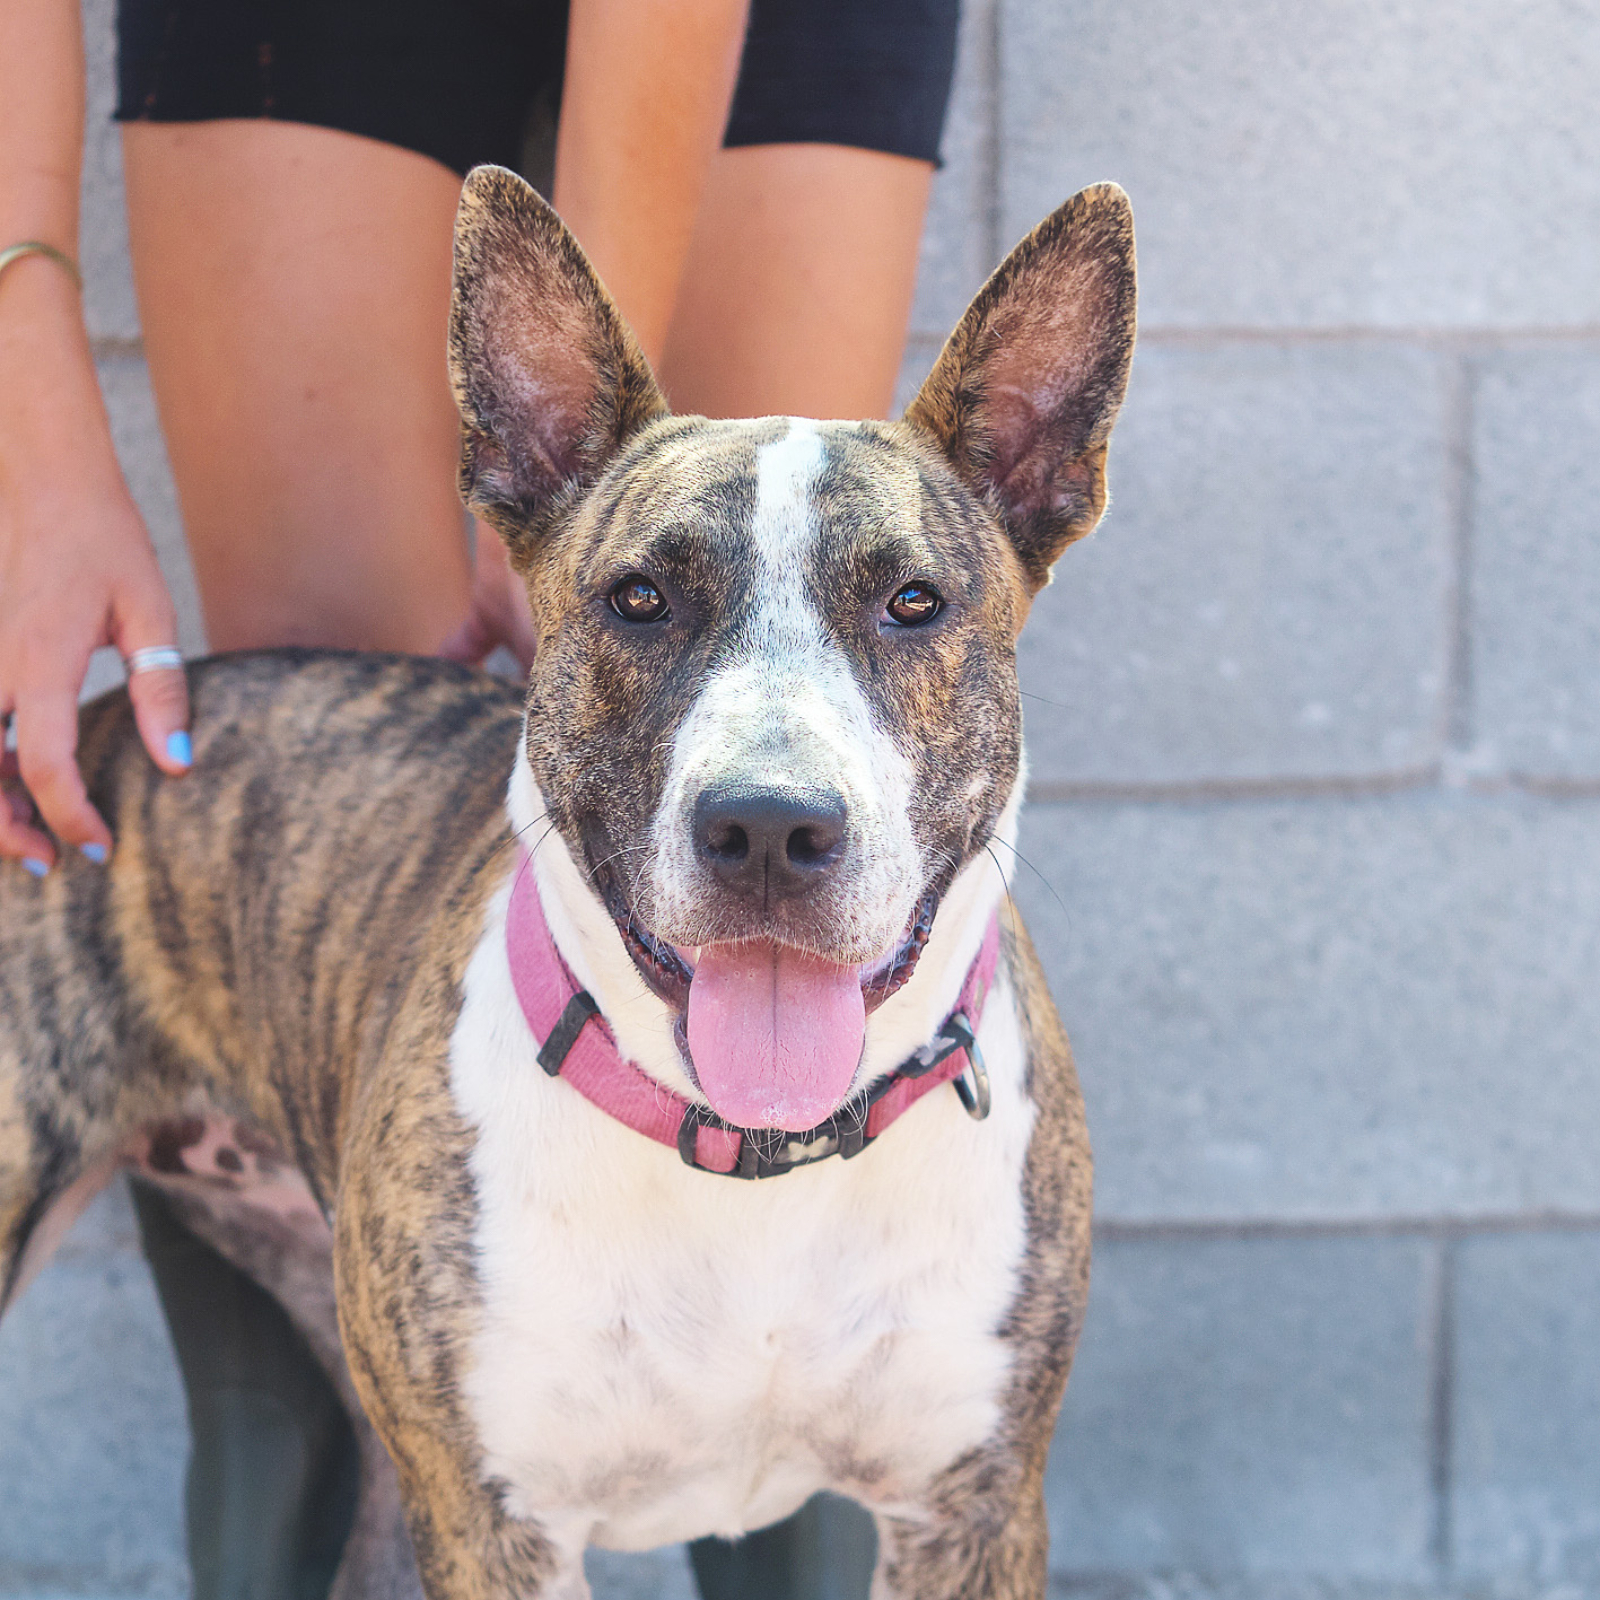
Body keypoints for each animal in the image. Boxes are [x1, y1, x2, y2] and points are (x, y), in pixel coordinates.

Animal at [0, 166, 1134, 1598]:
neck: (754, 1161)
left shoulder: (973, 1509)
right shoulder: (494, 1521)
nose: (771, 827)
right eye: (639, 598)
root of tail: (105, 720)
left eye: (915, 603)